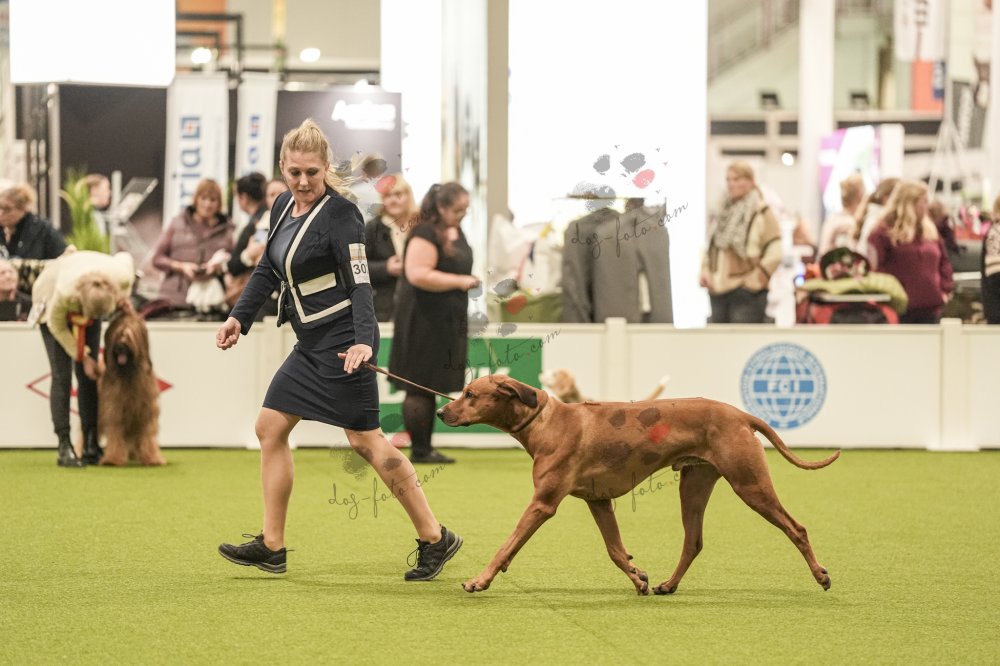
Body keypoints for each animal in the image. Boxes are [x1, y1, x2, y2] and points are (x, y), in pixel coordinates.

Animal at [98, 310, 165, 466]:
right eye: (117, 334)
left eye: (129, 335)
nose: (120, 346)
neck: (128, 374)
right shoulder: (114, 410)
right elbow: (115, 434)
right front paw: (112, 459)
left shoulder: (146, 411)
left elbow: (148, 435)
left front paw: (152, 458)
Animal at [437, 375, 838, 595]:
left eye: (470, 394)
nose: (440, 411)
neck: (546, 422)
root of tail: (741, 414)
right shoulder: (598, 502)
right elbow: (616, 551)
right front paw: (638, 578)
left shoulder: (542, 503)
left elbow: (506, 545)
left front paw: (479, 580)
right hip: (694, 485)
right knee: (693, 542)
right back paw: (669, 585)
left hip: (750, 485)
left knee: (796, 528)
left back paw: (820, 575)